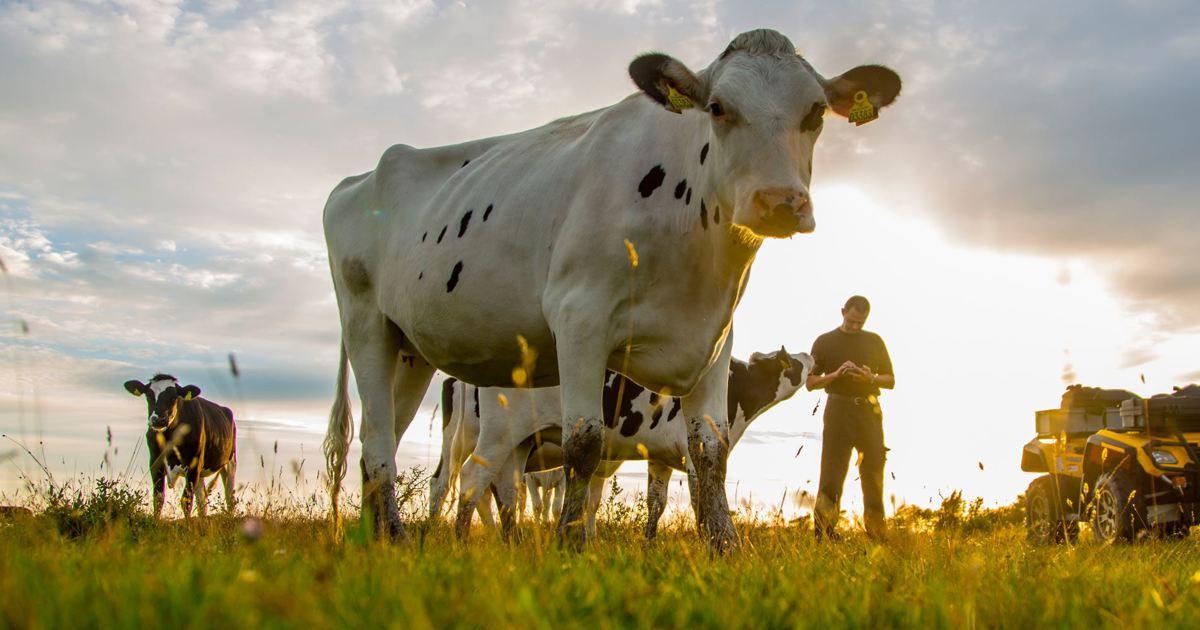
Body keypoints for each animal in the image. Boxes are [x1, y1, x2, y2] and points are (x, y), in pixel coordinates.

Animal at [126, 374, 238, 516]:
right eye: (148, 396)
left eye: (174, 397)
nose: (159, 420)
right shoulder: (155, 464)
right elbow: (158, 499)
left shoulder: (193, 465)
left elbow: (186, 501)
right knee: (202, 502)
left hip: (230, 464)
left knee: (230, 499)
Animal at [427, 345, 811, 537]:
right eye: (793, 362)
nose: (811, 355)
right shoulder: (694, 453)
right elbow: (700, 500)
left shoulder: (660, 458)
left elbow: (656, 504)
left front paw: (649, 547)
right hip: (497, 434)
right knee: (472, 483)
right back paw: (460, 540)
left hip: (514, 442)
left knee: (492, 489)